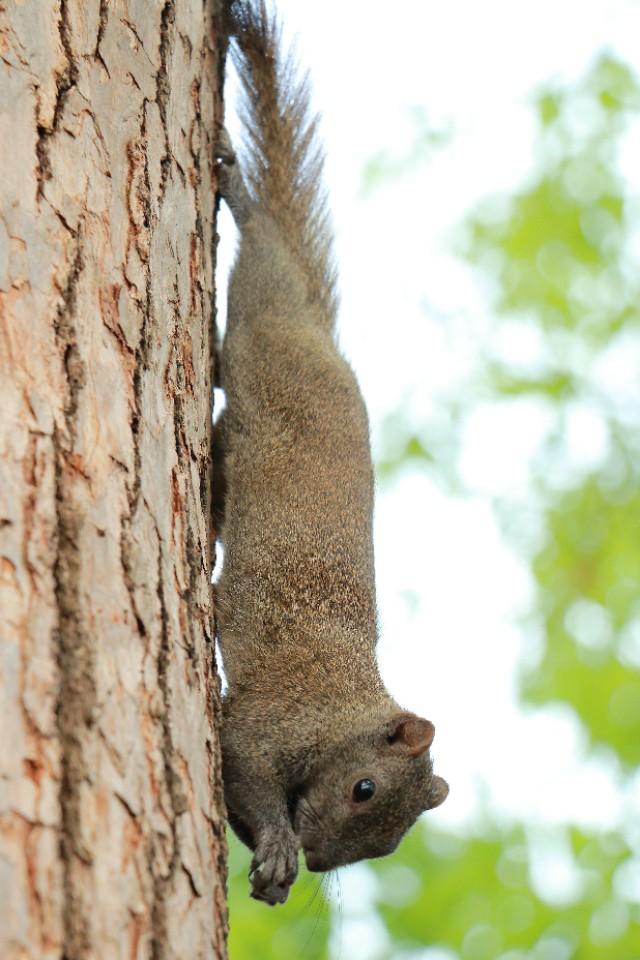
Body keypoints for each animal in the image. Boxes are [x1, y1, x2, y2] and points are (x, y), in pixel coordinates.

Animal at [215, 0, 444, 908]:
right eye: (366, 788)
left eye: (386, 844)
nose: (317, 859)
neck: (343, 704)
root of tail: (320, 328)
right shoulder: (265, 716)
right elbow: (242, 769)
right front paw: (278, 844)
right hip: (262, 313)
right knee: (260, 249)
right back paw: (239, 195)